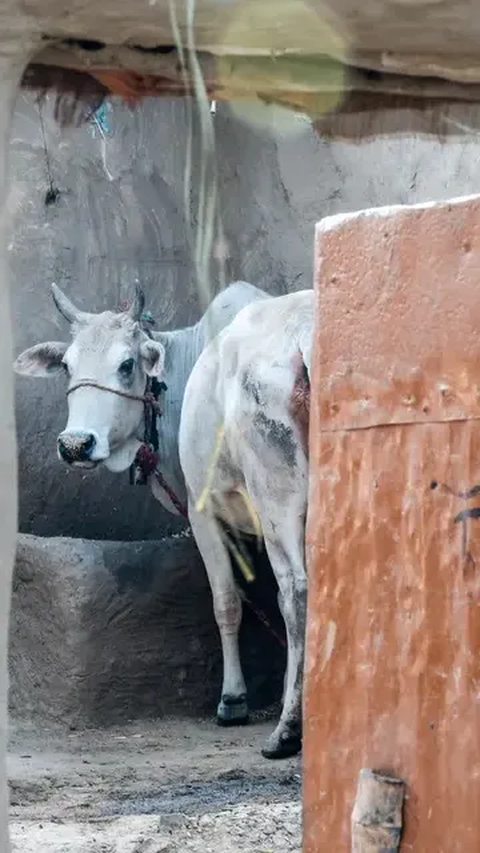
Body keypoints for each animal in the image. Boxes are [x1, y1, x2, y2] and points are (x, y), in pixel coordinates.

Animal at [14, 282, 316, 760]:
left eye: (126, 364)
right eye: (66, 365)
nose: (76, 444)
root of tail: (303, 337)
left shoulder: (203, 512)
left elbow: (227, 603)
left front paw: (233, 699)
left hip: (277, 495)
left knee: (297, 593)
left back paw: (288, 729)